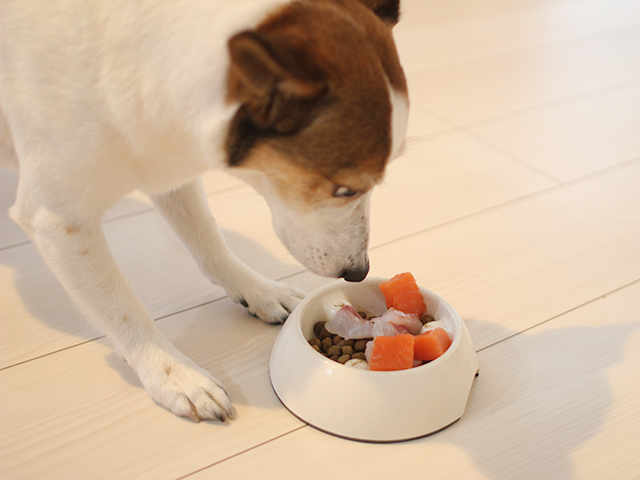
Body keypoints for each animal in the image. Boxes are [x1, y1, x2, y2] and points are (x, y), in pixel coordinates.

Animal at [0, 0, 408, 420]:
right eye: (344, 189)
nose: (359, 272)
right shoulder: (60, 221)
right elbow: (122, 308)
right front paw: (174, 374)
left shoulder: (166, 162)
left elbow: (208, 238)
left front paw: (258, 290)